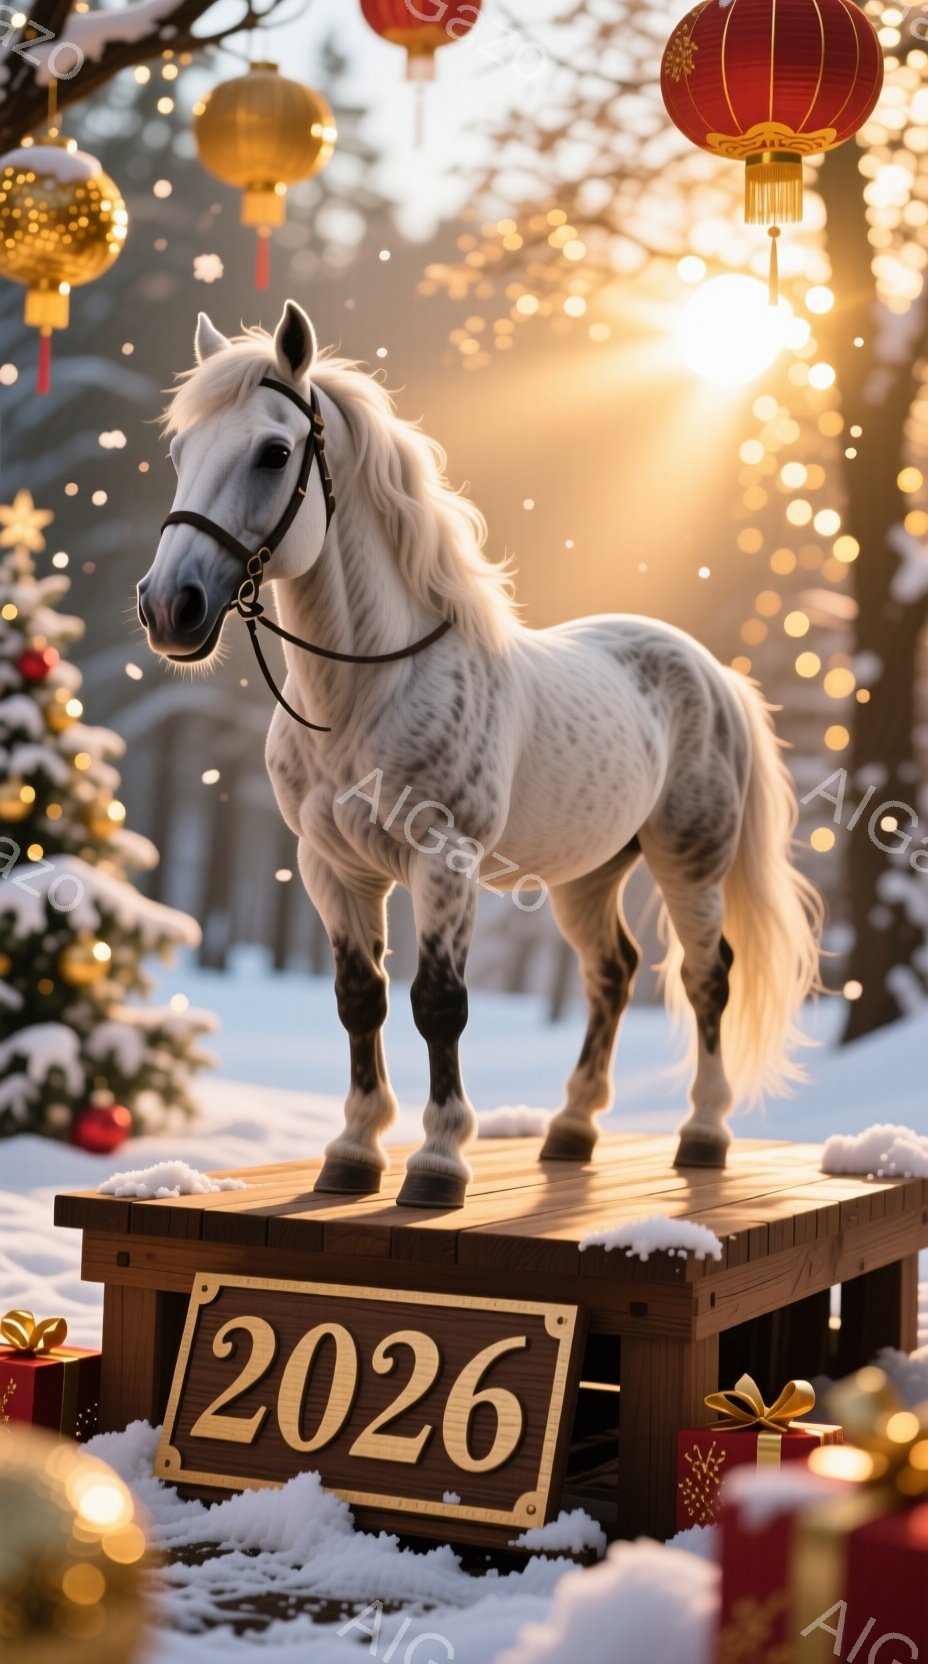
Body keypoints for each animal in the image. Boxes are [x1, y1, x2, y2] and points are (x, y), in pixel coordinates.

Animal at [138, 298, 822, 1210]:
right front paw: (352, 1153)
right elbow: (359, 1000)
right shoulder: (331, 868)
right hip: (587, 875)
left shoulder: (444, 861)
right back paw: (570, 1130)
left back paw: (704, 1135)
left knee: (708, 977)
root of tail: (714, 675)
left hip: (691, 866)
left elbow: (439, 1003)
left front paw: (438, 1162)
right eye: (181, 452)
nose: (167, 608)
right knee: (611, 973)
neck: (362, 696)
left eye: (274, 452)